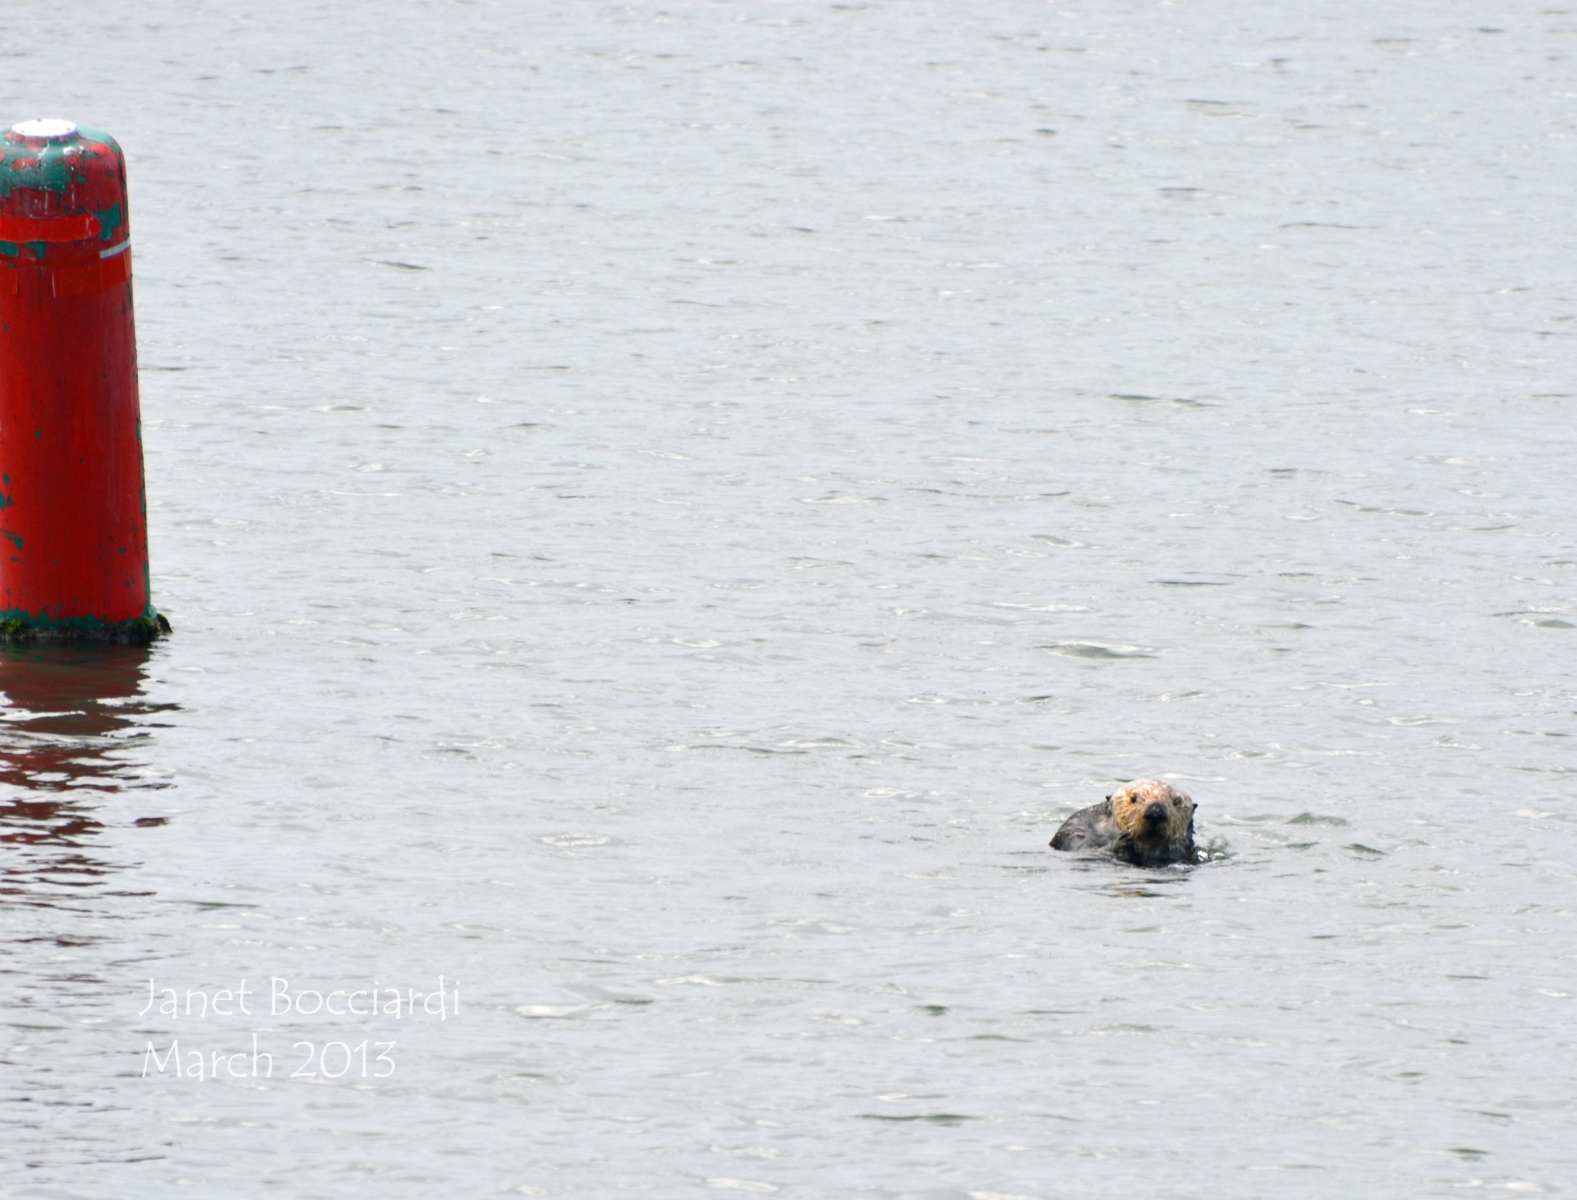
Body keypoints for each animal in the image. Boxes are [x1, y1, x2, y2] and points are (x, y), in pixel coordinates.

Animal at [1053, 782, 1198, 864]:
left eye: (1177, 802)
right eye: (1132, 799)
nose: (1156, 812)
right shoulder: (1078, 827)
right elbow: (1085, 849)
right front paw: (1124, 841)